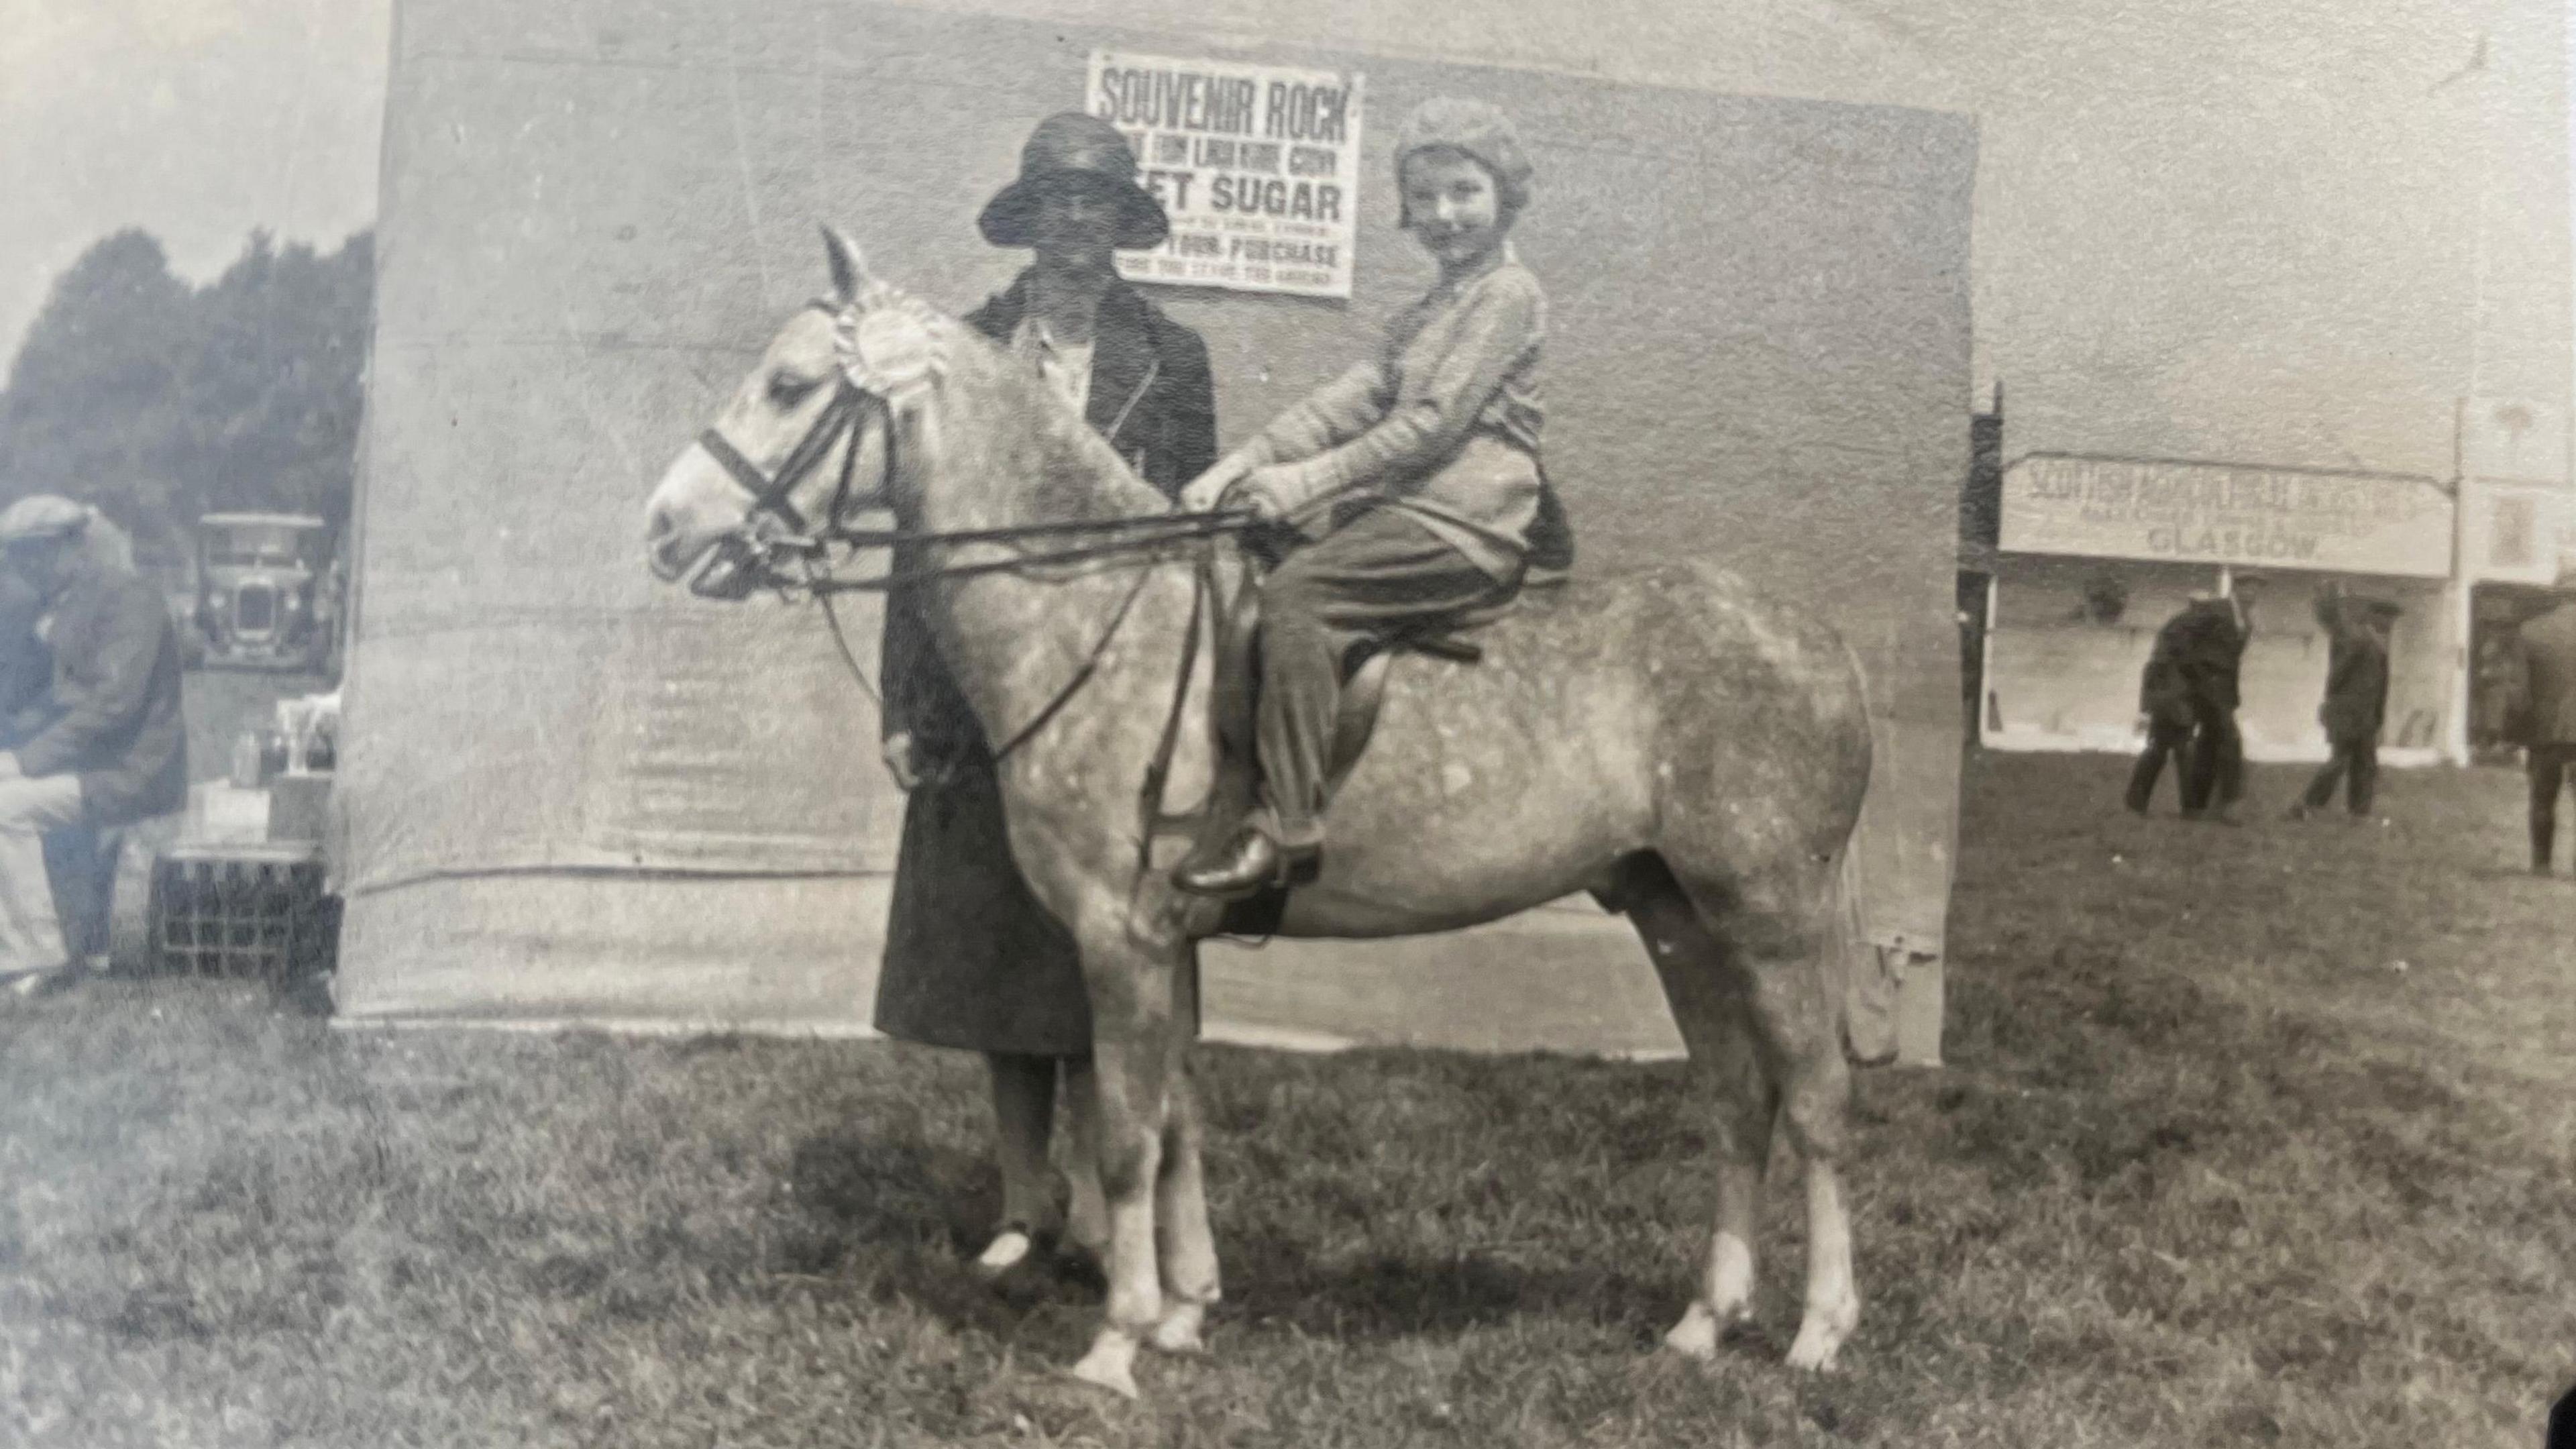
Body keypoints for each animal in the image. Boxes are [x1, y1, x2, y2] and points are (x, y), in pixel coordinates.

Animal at [649, 230, 1875, 1392]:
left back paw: (1820, 1331)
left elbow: (1129, 1137)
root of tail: (1823, 644)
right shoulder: (1170, 943)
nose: (665, 527)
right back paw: (1704, 1322)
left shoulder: (1122, 940)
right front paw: (1186, 1312)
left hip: (1768, 916)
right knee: (1737, 1100)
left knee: (1815, 1103)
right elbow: (1179, 1121)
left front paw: (1119, 1343)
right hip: (1676, 915)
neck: (1099, 612)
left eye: (793, 385)